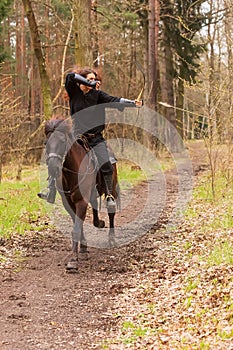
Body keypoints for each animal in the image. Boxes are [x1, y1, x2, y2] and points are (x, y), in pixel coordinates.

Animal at [44, 118, 118, 270]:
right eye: (46, 143)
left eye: (62, 141)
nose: (53, 168)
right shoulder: (68, 203)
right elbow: (78, 224)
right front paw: (82, 249)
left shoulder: (81, 201)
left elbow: (76, 229)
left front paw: (73, 260)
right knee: (95, 207)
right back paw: (99, 223)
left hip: (112, 188)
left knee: (111, 211)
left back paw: (111, 238)